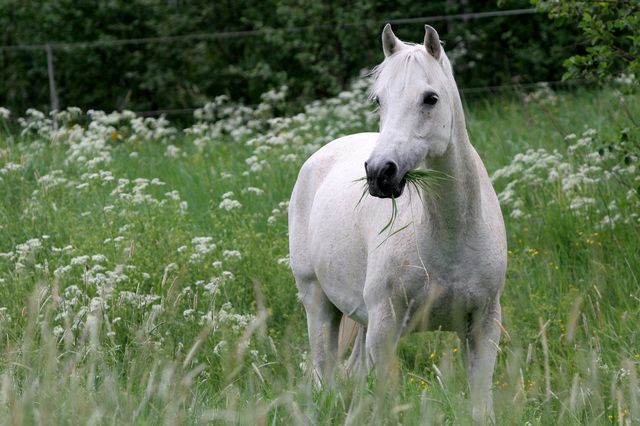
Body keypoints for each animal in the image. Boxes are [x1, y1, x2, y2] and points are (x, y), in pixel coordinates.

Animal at [288, 24, 507, 421]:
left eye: (430, 98)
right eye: (379, 100)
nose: (380, 174)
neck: (450, 236)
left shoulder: (483, 325)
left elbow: (480, 404)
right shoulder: (385, 328)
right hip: (317, 303)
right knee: (324, 372)